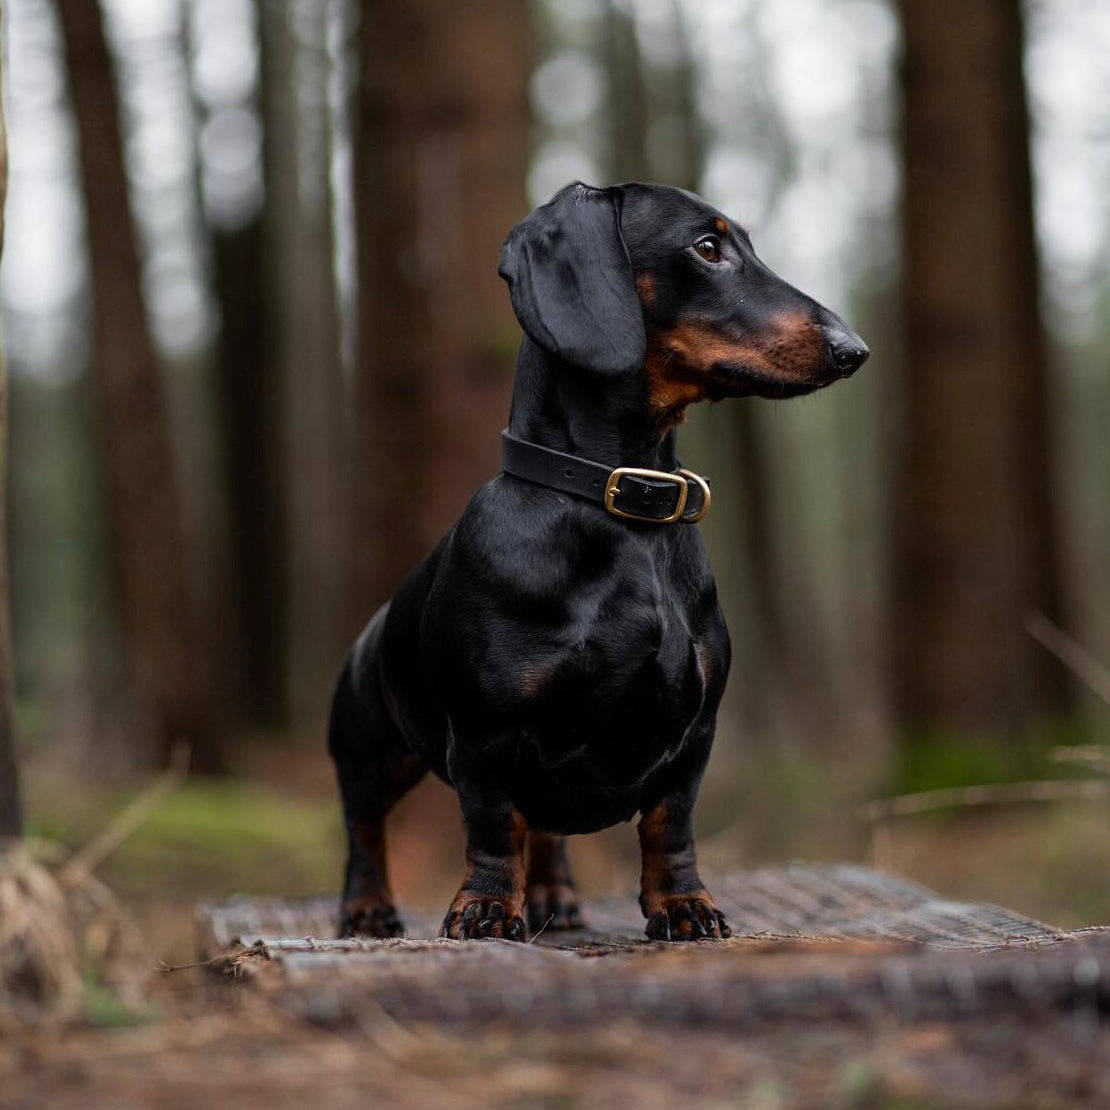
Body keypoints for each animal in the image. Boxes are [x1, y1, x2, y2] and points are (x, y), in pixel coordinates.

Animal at [328, 184, 865, 945]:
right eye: (708, 246)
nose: (855, 350)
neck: (625, 509)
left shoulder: (695, 735)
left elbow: (671, 827)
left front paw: (685, 906)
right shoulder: (486, 732)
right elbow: (493, 826)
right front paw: (486, 907)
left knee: (545, 833)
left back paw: (554, 896)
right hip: (370, 745)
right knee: (365, 823)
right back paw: (368, 908)